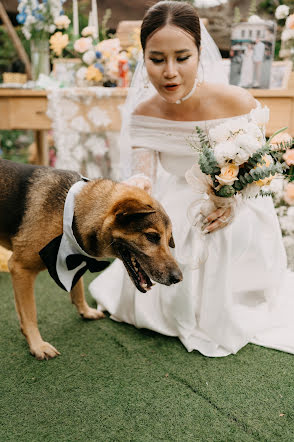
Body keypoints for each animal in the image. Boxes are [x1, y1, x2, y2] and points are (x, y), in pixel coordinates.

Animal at [0, 161, 183, 360]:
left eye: (169, 239)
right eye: (152, 237)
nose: (178, 278)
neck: (72, 212)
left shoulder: (72, 259)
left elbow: (77, 288)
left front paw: (85, 311)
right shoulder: (20, 269)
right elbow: (30, 314)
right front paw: (37, 345)